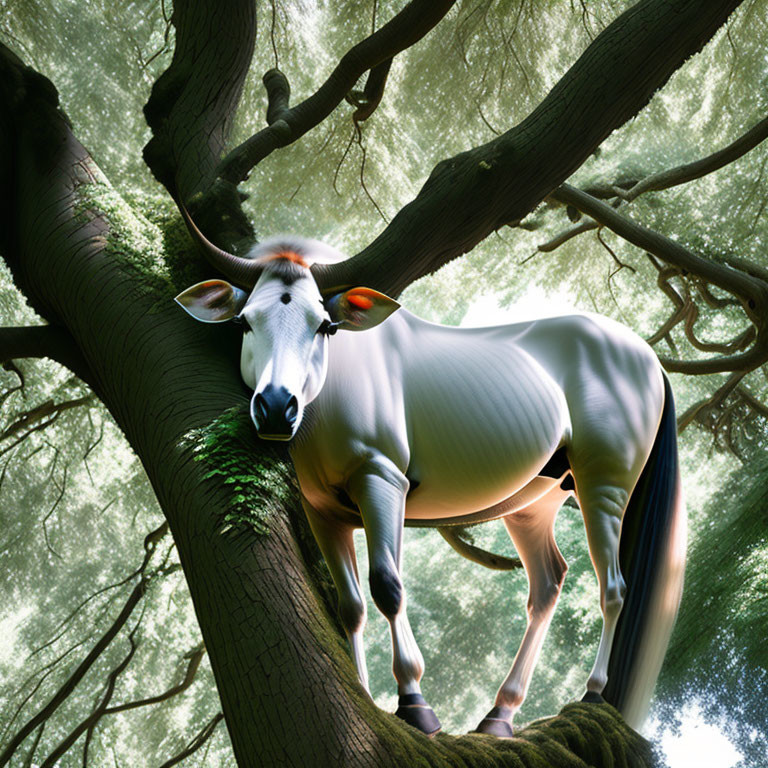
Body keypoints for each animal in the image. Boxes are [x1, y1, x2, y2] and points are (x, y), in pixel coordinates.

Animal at [177, 230, 688, 736]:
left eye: (324, 326)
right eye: (244, 322)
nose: (276, 409)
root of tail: (647, 356)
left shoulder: (382, 482)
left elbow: (387, 585)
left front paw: (414, 703)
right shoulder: (323, 511)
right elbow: (351, 604)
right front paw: (365, 695)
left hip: (604, 484)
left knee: (613, 586)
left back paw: (592, 692)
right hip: (533, 503)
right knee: (547, 585)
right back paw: (500, 715)